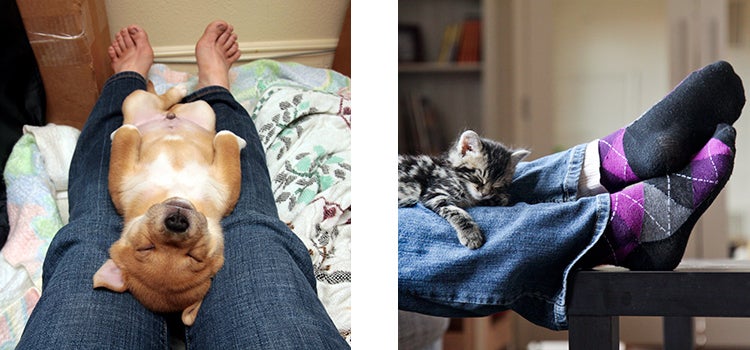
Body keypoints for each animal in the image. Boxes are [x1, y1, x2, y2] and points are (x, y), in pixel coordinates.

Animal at [93, 84, 247, 326]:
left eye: (194, 256)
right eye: (146, 247)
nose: (176, 221)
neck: (176, 190)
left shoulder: (225, 189)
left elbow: (227, 145)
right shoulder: (121, 181)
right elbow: (226, 141)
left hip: (201, 110)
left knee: (167, 102)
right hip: (137, 101)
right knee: (156, 102)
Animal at [400, 129, 528, 249]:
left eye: (498, 185)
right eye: (479, 178)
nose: (484, 193)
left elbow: (503, 199)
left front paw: (496, 198)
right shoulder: (435, 193)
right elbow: (457, 213)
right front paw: (471, 235)